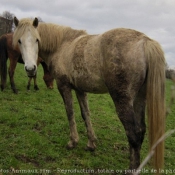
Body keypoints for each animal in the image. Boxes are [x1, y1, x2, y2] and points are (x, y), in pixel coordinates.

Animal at [13, 17, 165, 174]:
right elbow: (85, 114)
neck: (62, 44)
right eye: (19, 40)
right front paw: (91, 144)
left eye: (37, 39)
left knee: (133, 134)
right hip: (140, 98)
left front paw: (73, 142)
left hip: (123, 100)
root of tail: (145, 41)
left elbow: (70, 113)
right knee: (141, 131)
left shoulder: (64, 86)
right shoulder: (80, 90)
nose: (30, 69)